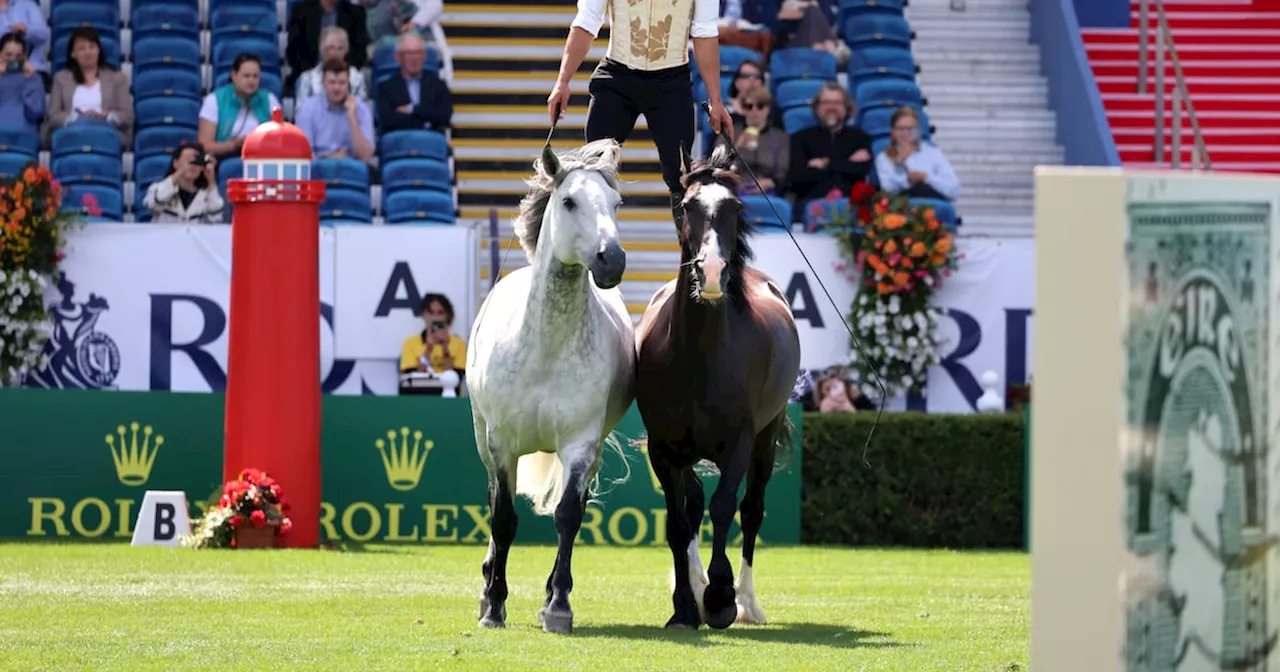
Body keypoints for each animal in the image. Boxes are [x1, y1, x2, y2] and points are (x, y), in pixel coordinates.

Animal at [465, 137, 634, 634]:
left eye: (616, 203)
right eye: (569, 201)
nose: (612, 259)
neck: (545, 348)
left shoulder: (580, 445)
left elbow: (568, 516)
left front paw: (557, 606)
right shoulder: (501, 443)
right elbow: (503, 519)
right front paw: (494, 605)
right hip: (482, 437)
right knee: (492, 500)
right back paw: (487, 587)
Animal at [632, 142, 798, 629]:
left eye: (735, 208)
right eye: (687, 206)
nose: (711, 272)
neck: (699, 356)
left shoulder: (740, 441)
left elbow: (727, 507)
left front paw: (722, 597)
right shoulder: (664, 448)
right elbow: (678, 522)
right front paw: (686, 606)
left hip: (765, 437)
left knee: (752, 509)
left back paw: (748, 603)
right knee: (692, 505)